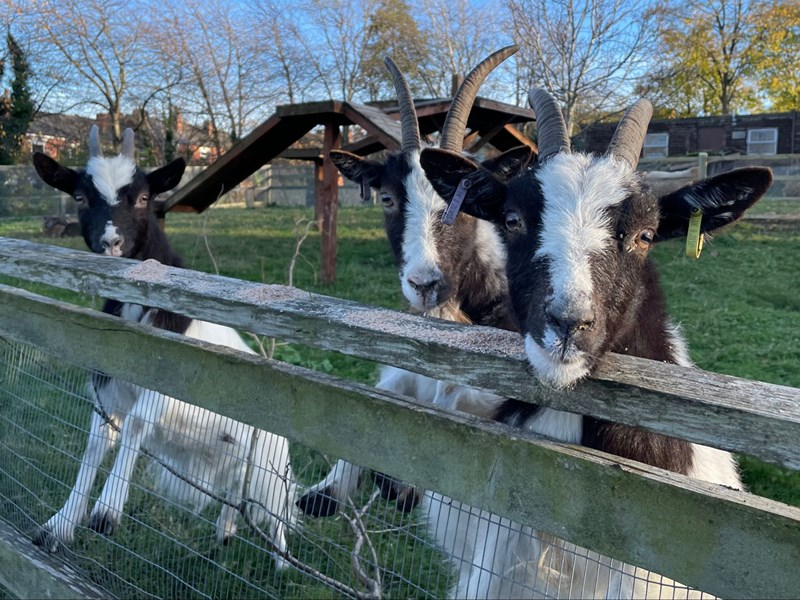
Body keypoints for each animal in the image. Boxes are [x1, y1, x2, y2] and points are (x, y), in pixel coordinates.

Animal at [31, 128, 295, 569]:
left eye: (142, 198)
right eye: (81, 197)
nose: (111, 241)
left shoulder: (168, 376)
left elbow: (137, 423)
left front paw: (106, 512)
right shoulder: (107, 382)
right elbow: (96, 441)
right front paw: (58, 526)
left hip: (270, 457)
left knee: (274, 504)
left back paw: (282, 560)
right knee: (238, 489)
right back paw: (225, 532)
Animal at [297, 46, 533, 520]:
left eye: (465, 202)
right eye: (387, 198)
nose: (424, 284)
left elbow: (453, 405)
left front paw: (400, 485)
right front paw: (325, 492)